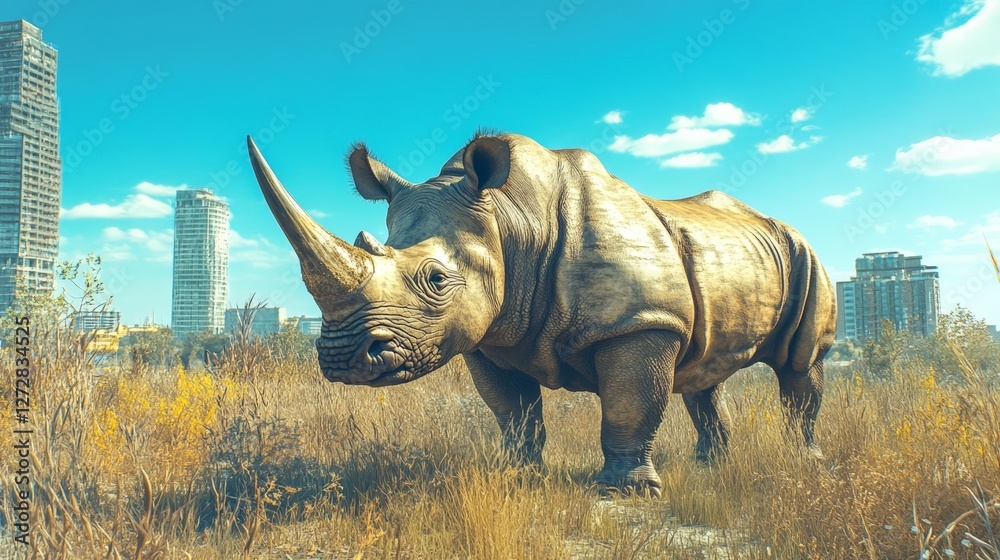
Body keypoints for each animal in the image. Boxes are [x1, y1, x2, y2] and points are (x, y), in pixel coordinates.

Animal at [246, 132, 837, 496]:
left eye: (436, 280)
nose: (343, 357)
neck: (512, 221)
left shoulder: (637, 322)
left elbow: (630, 404)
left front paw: (627, 492)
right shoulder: (489, 335)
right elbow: (514, 413)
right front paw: (518, 475)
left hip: (805, 253)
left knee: (800, 364)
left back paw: (805, 463)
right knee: (704, 376)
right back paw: (710, 467)